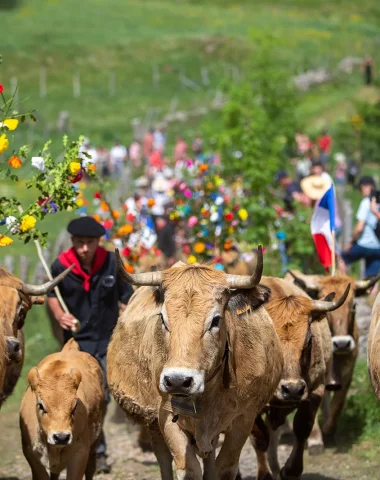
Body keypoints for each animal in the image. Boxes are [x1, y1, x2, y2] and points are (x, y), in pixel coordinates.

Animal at [20, 338, 104, 480]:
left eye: (74, 406)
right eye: (41, 405)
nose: (61, 437)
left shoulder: (80, 453)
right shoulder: (31, 454)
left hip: (94, 444)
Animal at [106, 248, 282, 480]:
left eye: (215, 320)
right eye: (163, 319)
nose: (178, 381)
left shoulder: (244, 419)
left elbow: (224, 467)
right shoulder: (166, 417)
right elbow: (188, 469)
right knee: (163, 457)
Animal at [249, 278, 350, 480]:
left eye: (309, 340)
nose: (292, 389)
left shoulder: (315, 390)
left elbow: (302, 428)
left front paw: (289, 471)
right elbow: (259, 438)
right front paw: (264, 475)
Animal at [286, 272, 378, 436]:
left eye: (354, 306)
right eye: (327, 313)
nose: (342, 343)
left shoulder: (347, 373)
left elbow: (337, 404)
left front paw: (328, 428)